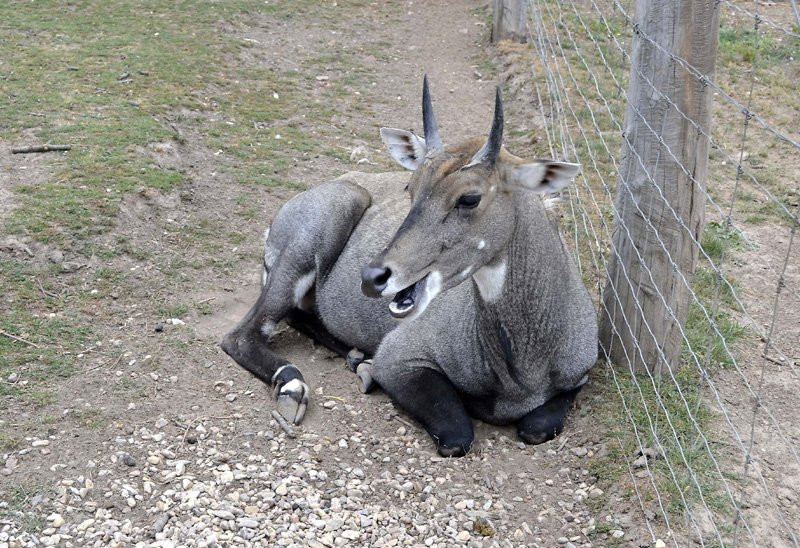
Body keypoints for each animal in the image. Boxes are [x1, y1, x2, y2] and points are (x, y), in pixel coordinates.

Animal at [222, 76, 596, 454]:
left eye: (469, 198)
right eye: (410, 187)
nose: (373, 276)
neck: (524, 366)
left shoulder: (581, 375)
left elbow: (537, 426)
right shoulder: (399, 358)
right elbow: (457, 435)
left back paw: (357, 358)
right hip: (330, 217)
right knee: (241, 336)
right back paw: (294, 386)